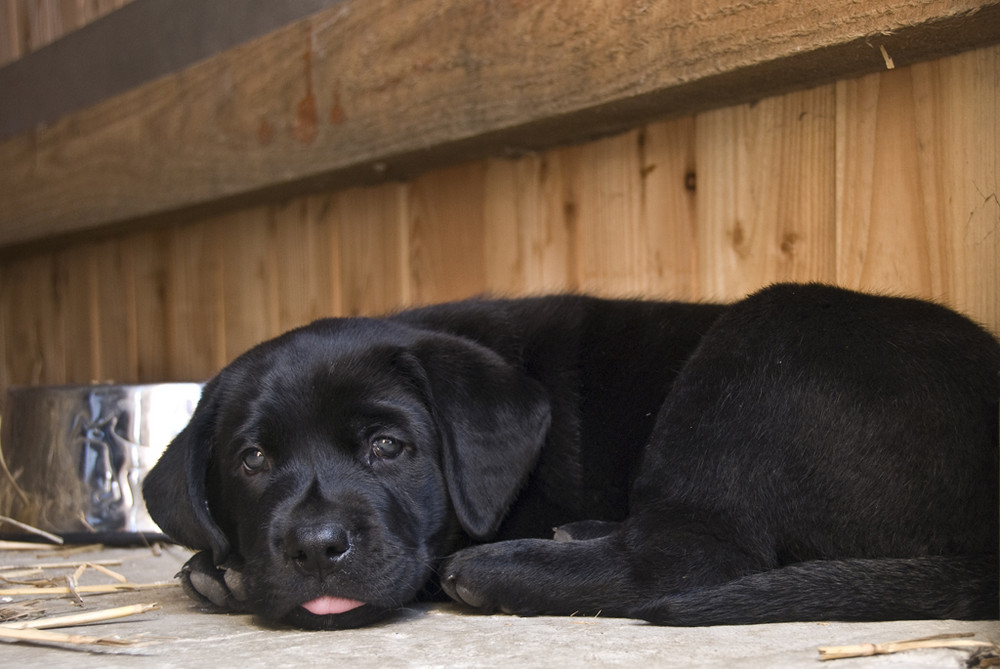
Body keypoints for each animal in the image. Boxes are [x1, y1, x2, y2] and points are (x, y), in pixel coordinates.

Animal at [143, 282, 1000, 628]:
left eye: (388, 447)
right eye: (252, 460)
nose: (315, 547)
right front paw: (221, 567)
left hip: (762, 342)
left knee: (685, 557)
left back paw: (496, 569)